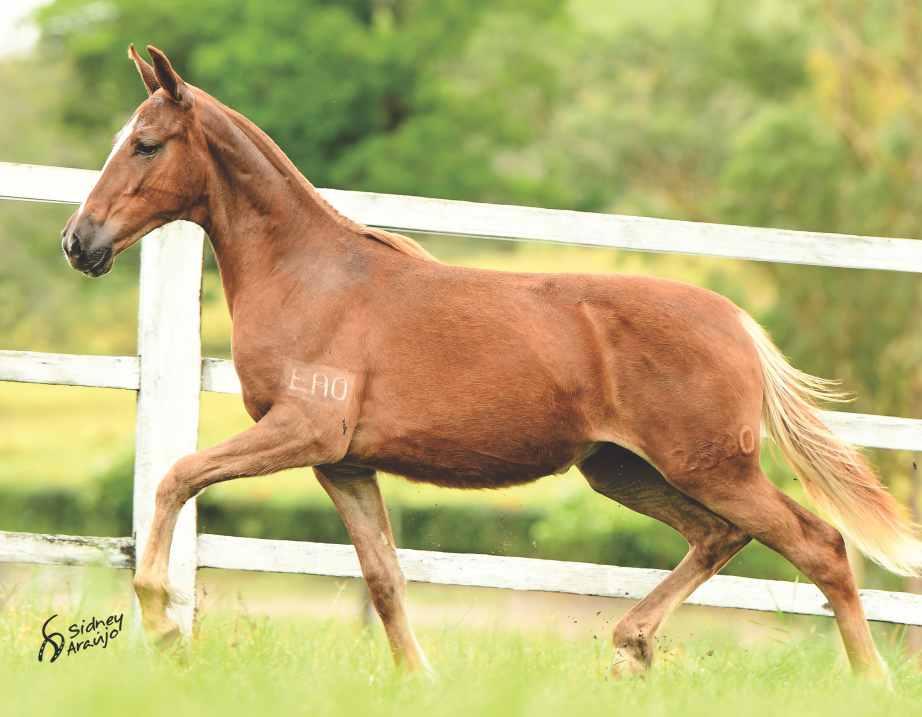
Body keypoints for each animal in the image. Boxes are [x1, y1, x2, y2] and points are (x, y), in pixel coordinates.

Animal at [61, 44, 916, 684]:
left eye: (145, 143)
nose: (80, 241)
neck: (312, 276)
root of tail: (738, 322)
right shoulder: (344, 463)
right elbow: (384, 576)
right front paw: (421, 680)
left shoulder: (302, 430)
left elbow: (176, 475)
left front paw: (162, 622)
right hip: (623, 469)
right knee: (719, 537)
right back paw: (631, 645)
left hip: (711, 467)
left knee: (819, 543)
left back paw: (869, 680)